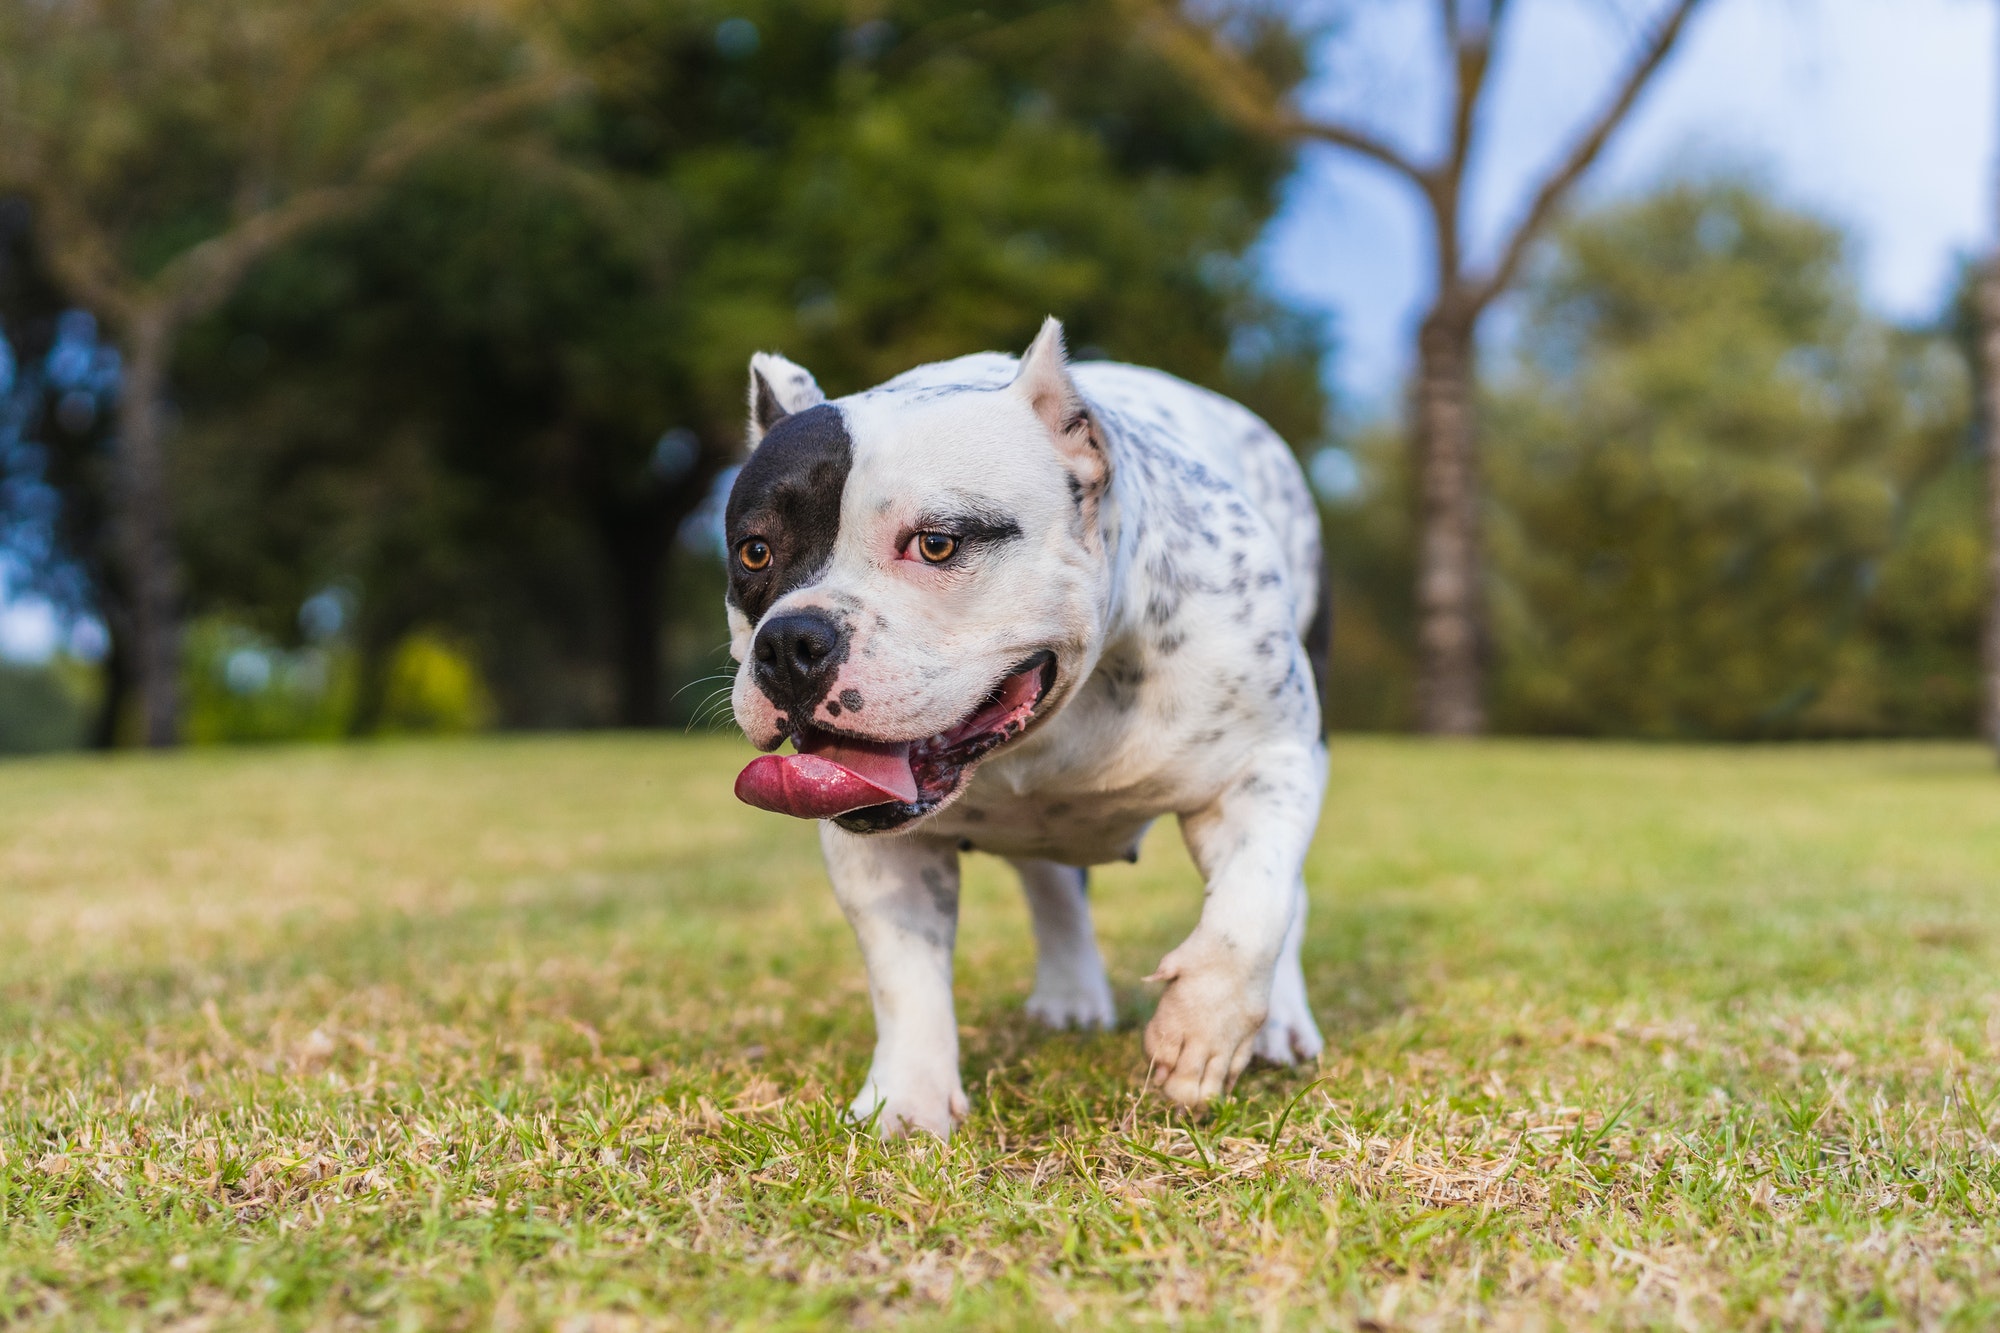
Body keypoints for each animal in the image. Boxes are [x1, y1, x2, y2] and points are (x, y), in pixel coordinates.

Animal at [724, 314, 1328, 1128]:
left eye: (937, 542)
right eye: (755, 551)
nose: (789, 643)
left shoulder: (1271, 760)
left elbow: (1251, 907)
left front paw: (1200, 1032)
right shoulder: (880, 857)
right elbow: (903, 972)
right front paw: (906, 1103)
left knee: (1282, 897)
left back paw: (1280, 1022)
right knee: (1051, 880)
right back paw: (1071, 995)